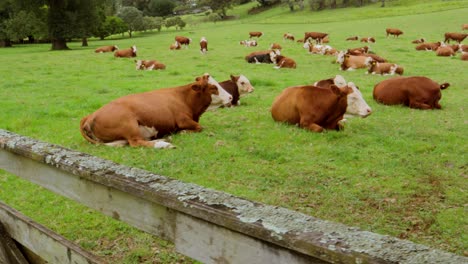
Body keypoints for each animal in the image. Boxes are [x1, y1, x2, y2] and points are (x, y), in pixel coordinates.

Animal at [79, 73, 221, 148]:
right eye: (213, 88)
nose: (228, 98)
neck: (183, 97)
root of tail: (90, 115)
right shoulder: (183, 120)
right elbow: (199, 127)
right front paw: (183, 132)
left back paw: (163, 139)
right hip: (129, 124)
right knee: (136, 142)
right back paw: (163, 144)